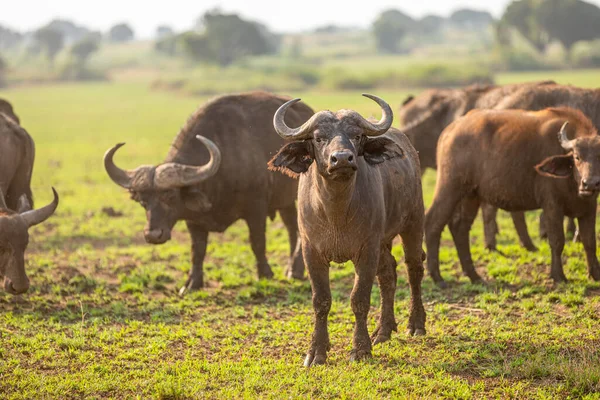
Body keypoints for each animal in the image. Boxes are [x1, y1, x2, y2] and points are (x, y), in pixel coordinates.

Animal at [103, 91, 316, 294]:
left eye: (170, 196)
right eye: (142, 201)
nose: (153, 235)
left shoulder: (256, 209)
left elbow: (257, 242)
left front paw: (265, 274)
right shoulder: (194, 220)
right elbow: (197, 250)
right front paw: (192, 283)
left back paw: (295, 270)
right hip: (284, 201)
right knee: (291, 228)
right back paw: (293, 269)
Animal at [270, 94, 428, 366]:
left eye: (356, 135)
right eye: (319, 138)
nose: (342, 159)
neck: (336, 213)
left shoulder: (366, 251)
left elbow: (359, 299)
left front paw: (361, 349)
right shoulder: (311, 252)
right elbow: (321, 300)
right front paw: (317, 351)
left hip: (413, 222)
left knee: (413, 269)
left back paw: (415, 324)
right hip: (383, 241)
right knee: (388, 274)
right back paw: (384, 330)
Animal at [424, 108, 600, 286]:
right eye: (577, 157)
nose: (589, 184)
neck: (573, 182)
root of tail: (449, 131)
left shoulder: (590, 208)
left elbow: (590, 242)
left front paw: (595, 274)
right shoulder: (552, 205)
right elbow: (557, 241)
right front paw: (558, 275)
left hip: (471, 195)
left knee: (460, 228)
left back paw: (474, 276)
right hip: (450, 186)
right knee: (433, 222)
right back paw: (437, 276)